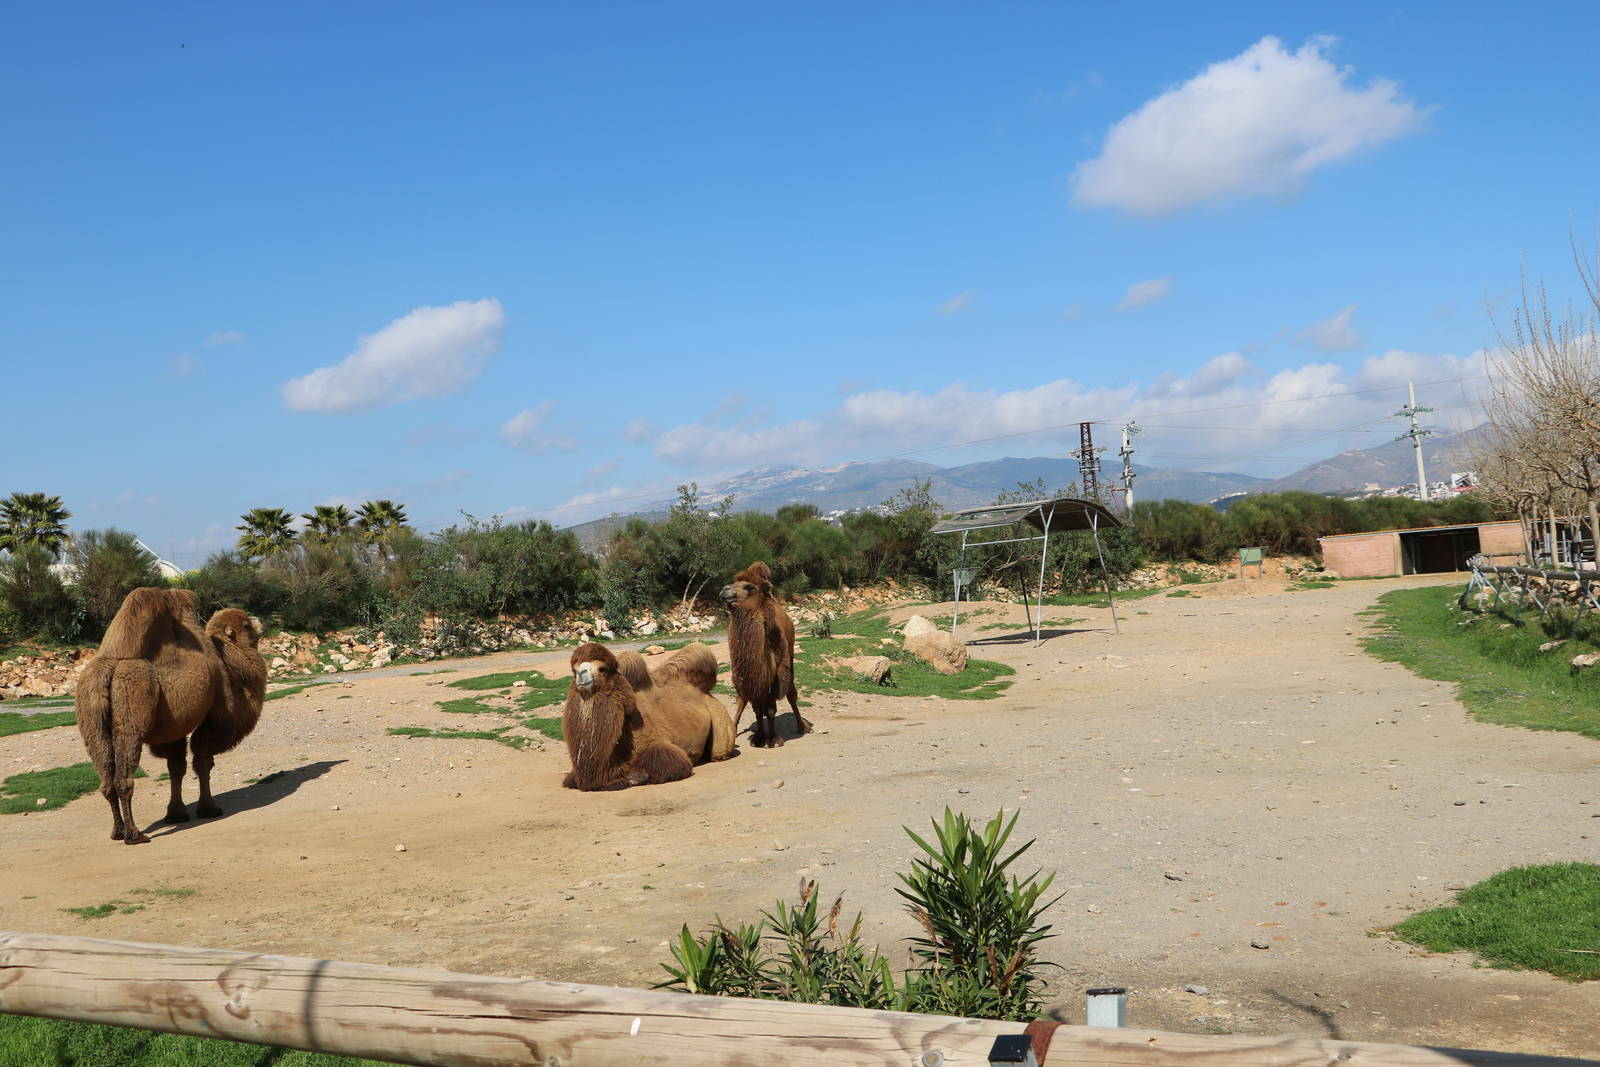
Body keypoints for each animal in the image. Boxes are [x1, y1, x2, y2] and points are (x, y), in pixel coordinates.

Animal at [75, 588, 267, 845]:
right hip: (131, 714)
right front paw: (209, 809)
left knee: (105, 778)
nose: (260, 621)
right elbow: (203, 763)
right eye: (246, 625)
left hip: (92, 719)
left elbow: (176, 768)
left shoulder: (173, 730)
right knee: (123, 777)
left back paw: (117, 831)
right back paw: (134, 834)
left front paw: (176, 813)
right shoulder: (214, 718)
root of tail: (111, 666)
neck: (228, 665)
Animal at [561, 642, 734, 791]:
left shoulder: (655, 742)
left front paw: (634, 777)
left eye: (602, 669)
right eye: (574, 670)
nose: (581, 675)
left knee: (719, 752)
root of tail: (705, 692)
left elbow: (671, 764)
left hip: (718, 713)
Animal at [720, 561, 811, 747]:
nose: (724, 590)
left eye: (750, 587)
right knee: (742, 700)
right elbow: (756, 709)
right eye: (734, 583)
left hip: (789, 660)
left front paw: (773, 739)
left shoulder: (776, 676)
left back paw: (802, 726)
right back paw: (733, 728)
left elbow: (770, 710)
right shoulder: (749, 678)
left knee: (791, 693)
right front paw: (759, 738)